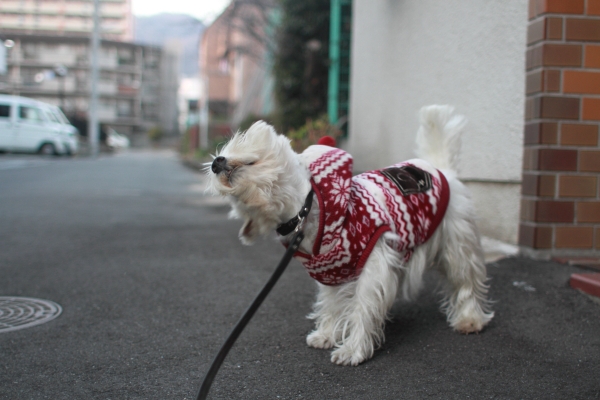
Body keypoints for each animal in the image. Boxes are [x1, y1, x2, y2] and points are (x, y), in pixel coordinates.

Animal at [206, 105, 492, 366]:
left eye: (242, 139)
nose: (216, 162)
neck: (307, 211)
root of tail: (442, 170)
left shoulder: (373, 264)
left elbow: (363, 306)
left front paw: (352, 350)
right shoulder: (331, 270)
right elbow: (332, 304)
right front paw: (326, 335)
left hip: (457, 242)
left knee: (467, 281)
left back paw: (470, 319)